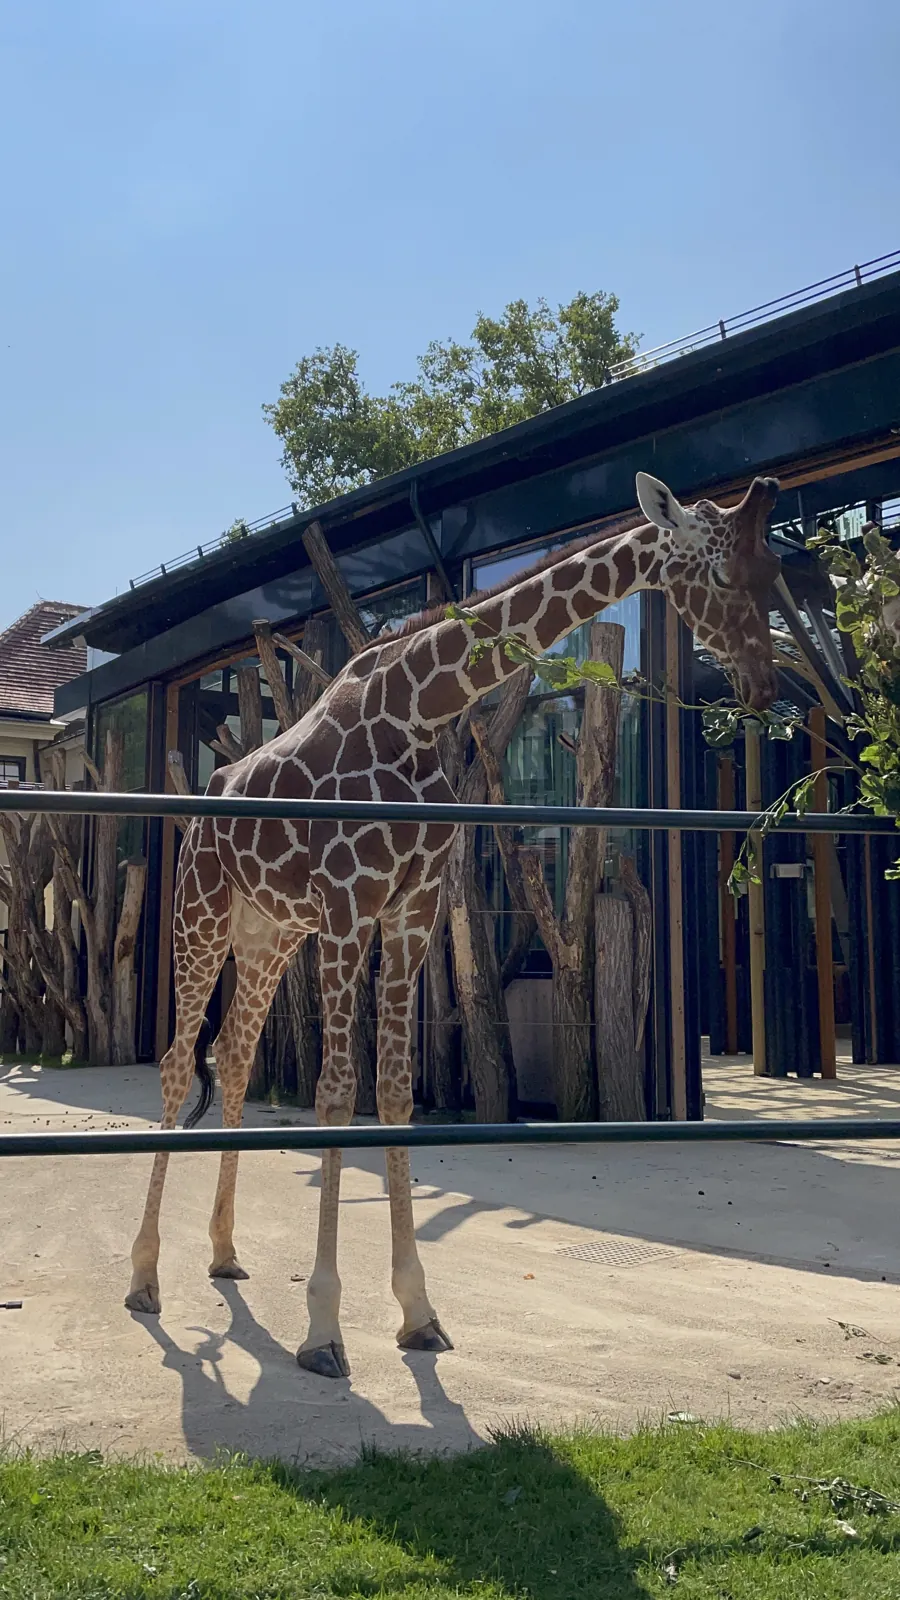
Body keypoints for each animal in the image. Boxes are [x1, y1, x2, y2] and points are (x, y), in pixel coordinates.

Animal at [126, 470, 781, 1378]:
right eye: (721, 574)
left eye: (773, 571)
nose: (764, 685)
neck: (421, 707)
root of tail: (203, 807)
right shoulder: (348, 906)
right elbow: (338, 1092)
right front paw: (323, 1331)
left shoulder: (409, 908)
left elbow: (396, 1091)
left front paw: (417, 1313)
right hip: (202, 918)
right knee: (174, 1062)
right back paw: (144, 1278)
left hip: (268, 938)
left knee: (232, 1056)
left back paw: (223, 1252)